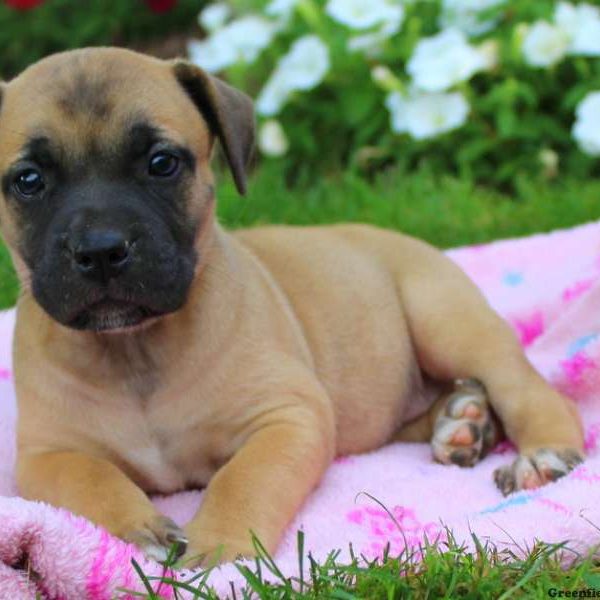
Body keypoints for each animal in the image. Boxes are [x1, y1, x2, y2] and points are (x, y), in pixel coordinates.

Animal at [0, 48, 584, 568]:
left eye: (162, 163)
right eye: (28, 180)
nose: (101, 249)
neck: (133, 350)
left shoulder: (287, 418)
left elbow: (244, 478)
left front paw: (216, 548)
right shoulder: (43, 457)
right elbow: (89, 478)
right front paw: (138, 530)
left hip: (445, 321)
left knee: (527, 389)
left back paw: (540, 454)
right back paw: (463, 420)